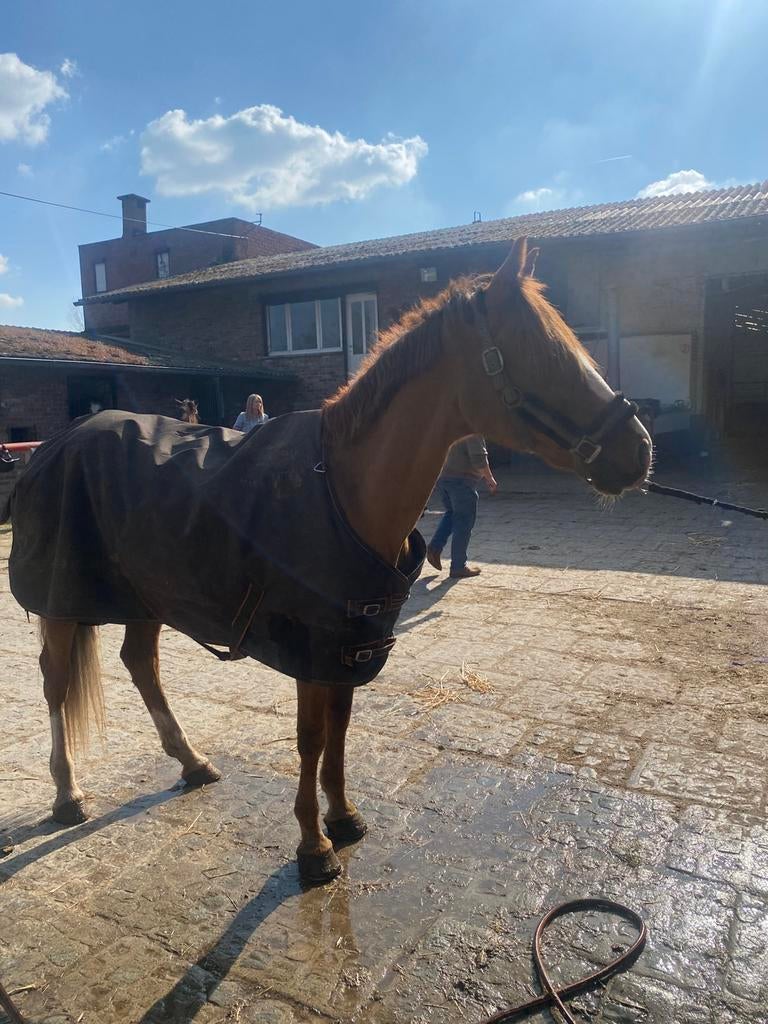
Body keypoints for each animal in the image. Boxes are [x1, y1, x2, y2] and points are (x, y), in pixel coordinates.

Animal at [4, 240, 651, 884]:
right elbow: (312, 737)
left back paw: (191, 762)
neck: (342, 490)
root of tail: (56, 444)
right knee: (56, 682)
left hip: (150, 596)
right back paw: (68, 794)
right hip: (63, 604)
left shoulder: (348, 644)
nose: (640, 452)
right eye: (541, 354)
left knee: (140, 664)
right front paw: (312, 846)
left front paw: (343, 817)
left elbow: (339, 728)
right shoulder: (312, 649)